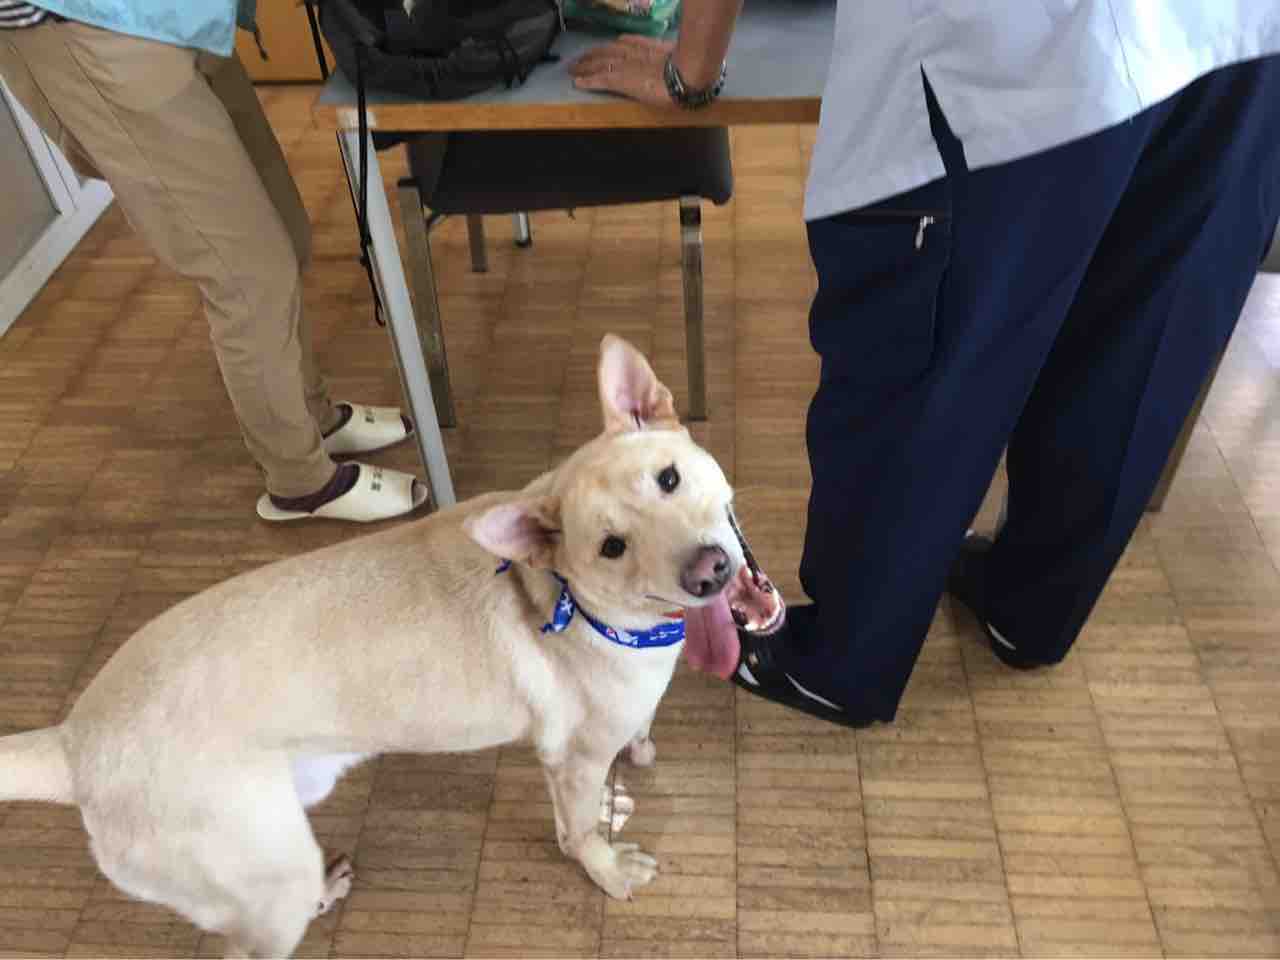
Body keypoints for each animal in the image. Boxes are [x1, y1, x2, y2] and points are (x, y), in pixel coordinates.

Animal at [0, 335, 783, 958]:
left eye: (669, 478)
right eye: (612, 547)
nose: (709, 571)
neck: (579, 604)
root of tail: (74, 740)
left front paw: (637, 758)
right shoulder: (572, 761)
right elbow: (581, 832)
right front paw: (609, 869)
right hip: (263, 879)